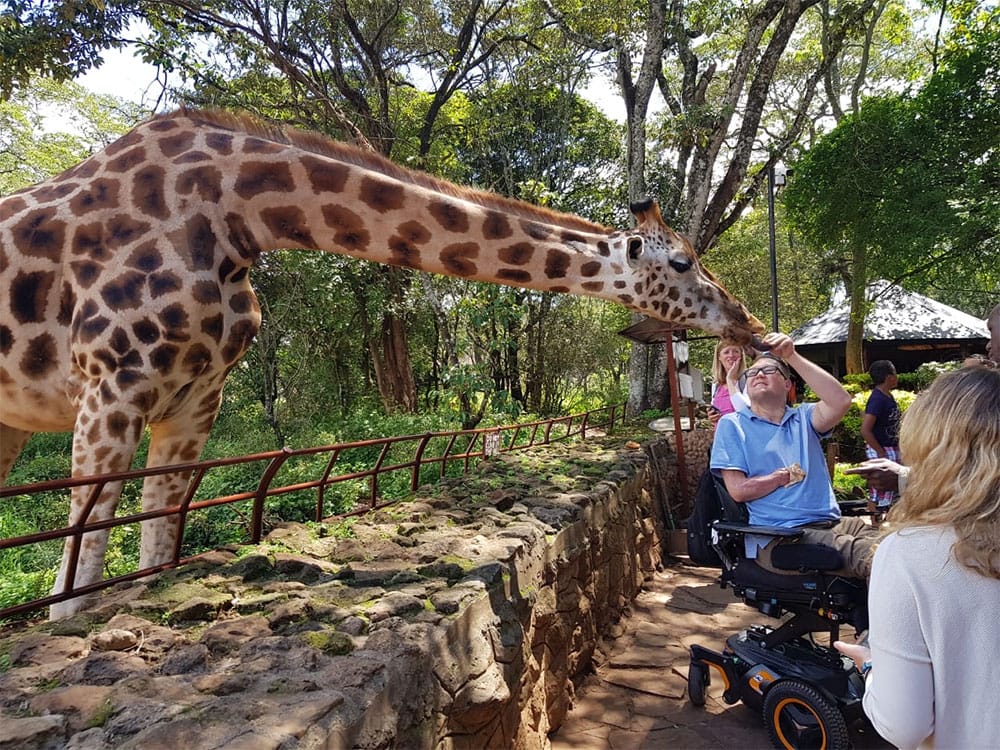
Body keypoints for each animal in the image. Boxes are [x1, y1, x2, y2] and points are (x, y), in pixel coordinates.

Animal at [0, 110, 764, 616]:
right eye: (683, 261)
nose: (748, 320)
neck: (236, 216)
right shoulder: (111, 389)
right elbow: (78, 570)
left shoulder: (194, 402)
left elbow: (154, 548)